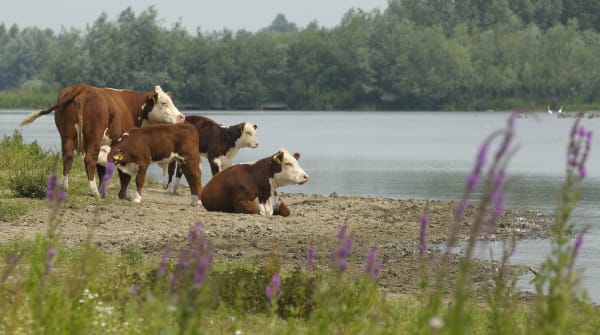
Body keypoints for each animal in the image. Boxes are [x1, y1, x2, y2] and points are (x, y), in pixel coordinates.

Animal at [18, 84, 184, 198]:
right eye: (163, 103)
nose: (181, 117)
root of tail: (83, 87)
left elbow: (102, 169)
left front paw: (105, 191)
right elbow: (122, 173)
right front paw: (121, 195)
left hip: (67, 135)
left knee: (68, 158)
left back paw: (64, 187)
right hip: (93, 136)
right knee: (88, 160)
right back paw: (93, 192)